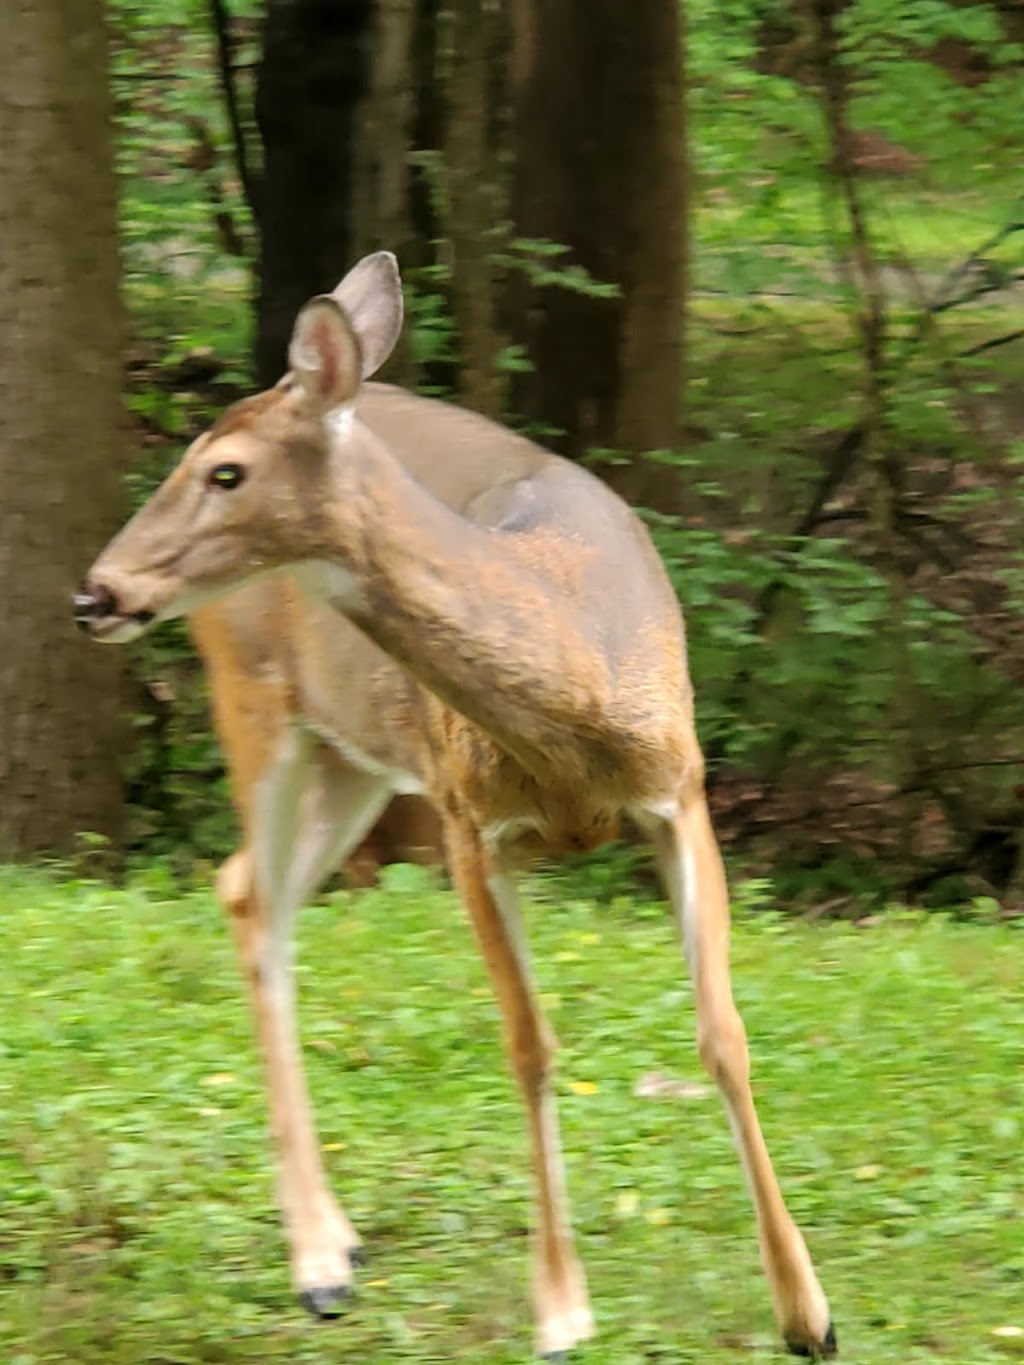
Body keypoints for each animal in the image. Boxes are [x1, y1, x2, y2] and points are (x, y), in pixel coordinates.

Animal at [76, 251, 835, 1359]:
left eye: (225, 470)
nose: (95, 591)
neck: (572, 702)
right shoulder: (469, 822)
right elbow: (529, 1044)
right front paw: (559, 1307)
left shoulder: (680, 790)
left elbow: (723, 1035)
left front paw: (806, 1311)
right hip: (255, 695)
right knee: (257, 899)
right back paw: (318, 1260)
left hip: (351, 755)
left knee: (247, 888)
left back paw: (336, 1247)